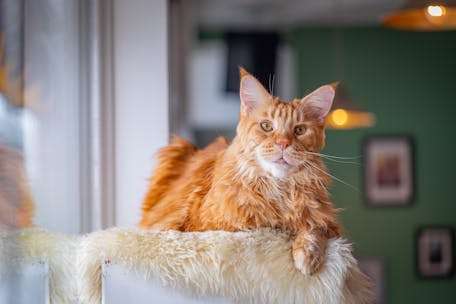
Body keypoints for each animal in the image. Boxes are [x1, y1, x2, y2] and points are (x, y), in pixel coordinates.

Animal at [139, 68, 342, 276]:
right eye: (266, 126)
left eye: (300, 130)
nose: (283, 143)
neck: (277, 190)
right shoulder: (201, 226)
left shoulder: (328, 222)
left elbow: (314, 229)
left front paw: (308, 255)